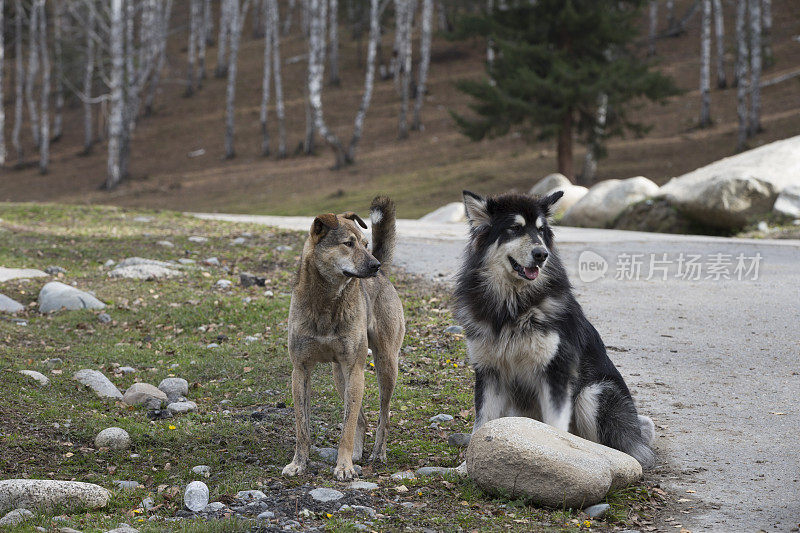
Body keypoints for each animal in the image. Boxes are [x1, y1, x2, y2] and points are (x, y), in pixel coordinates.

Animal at [282, 195, 406, 478]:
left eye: (365, 244)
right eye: (348, 244)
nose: (374, 264)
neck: (327, 301)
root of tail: (384, 276)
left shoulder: (355, 369)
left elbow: (346, 428)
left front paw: (344, 466)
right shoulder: (300, 370)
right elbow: (302, 426)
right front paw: (299, 463)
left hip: (384, 365)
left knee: (383, 415)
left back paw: (377, 453)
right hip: (340, 376)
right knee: (362, 418)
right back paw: (359, 453)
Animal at [454, 189, 652, 468]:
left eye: (540, 230)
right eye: (515, 228)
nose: (541, 254)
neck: (513, 306)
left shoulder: (556, 372)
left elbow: (556, 427)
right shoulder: (489, 372)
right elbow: (482, 423)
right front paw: (464, 468)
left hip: (593, 393)